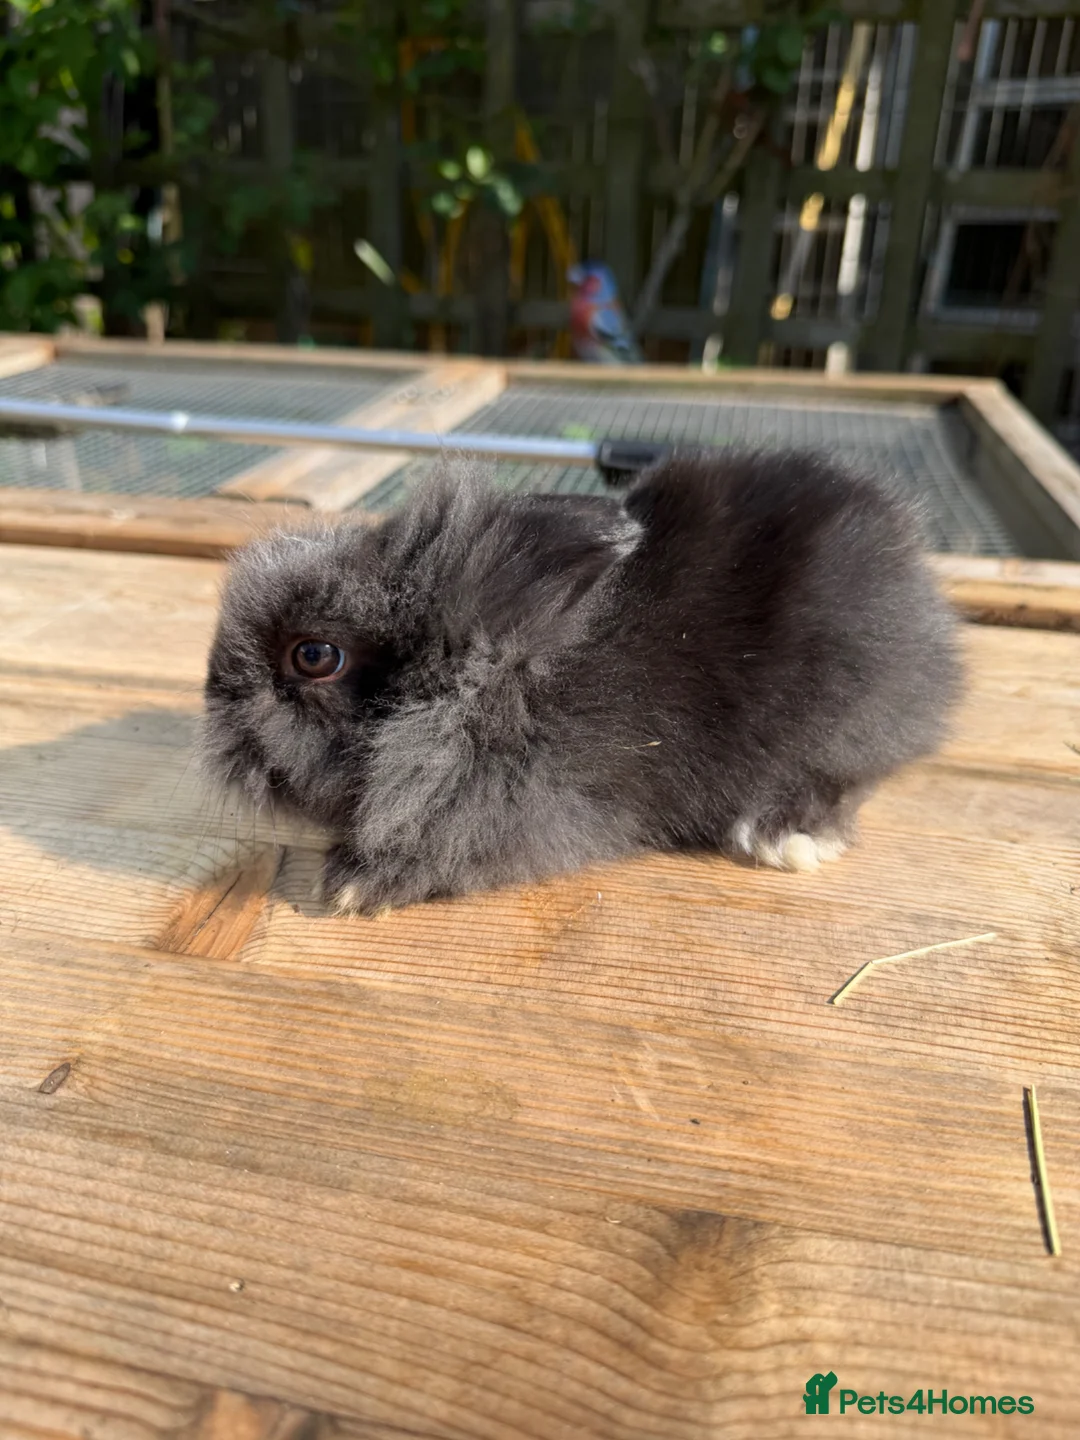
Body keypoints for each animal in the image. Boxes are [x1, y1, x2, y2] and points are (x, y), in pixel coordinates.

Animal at [201, 450, 961, 915]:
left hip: (844, 713)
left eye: (314, 656)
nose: (212, 695)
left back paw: (784, 834)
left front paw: (355, 885)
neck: (500, 684)